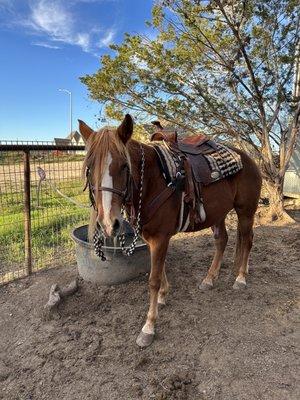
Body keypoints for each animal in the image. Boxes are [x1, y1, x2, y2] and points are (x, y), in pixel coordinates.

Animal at [78, 113, 262, 346]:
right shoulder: (151, 238)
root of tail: (248, 159)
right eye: (89, 168)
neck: (153, 180)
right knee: (222, 240)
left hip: (246, 211)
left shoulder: (160, 238)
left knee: (247, 239)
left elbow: (153, 280)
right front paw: (163, 296)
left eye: (124, 166)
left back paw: (240, 278)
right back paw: (210, 279)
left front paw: (148, 327)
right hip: (218, 213)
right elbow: (161, 268)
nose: (109, 224)